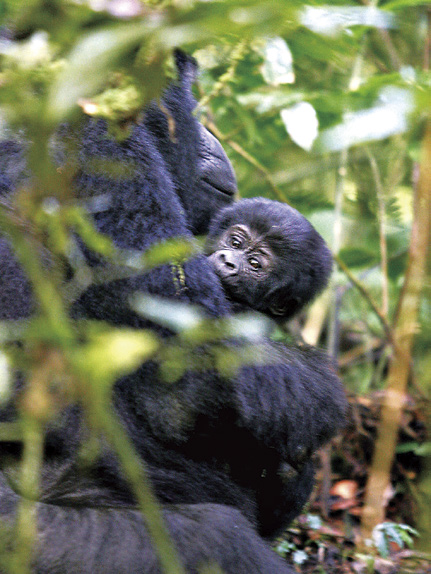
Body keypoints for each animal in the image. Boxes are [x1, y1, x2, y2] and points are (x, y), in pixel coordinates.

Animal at [0, 50, 348, 574]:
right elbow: (189, 371)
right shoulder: (102, 135)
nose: (209, 133)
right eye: (187, 91)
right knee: (220, 538)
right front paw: (323, 393)